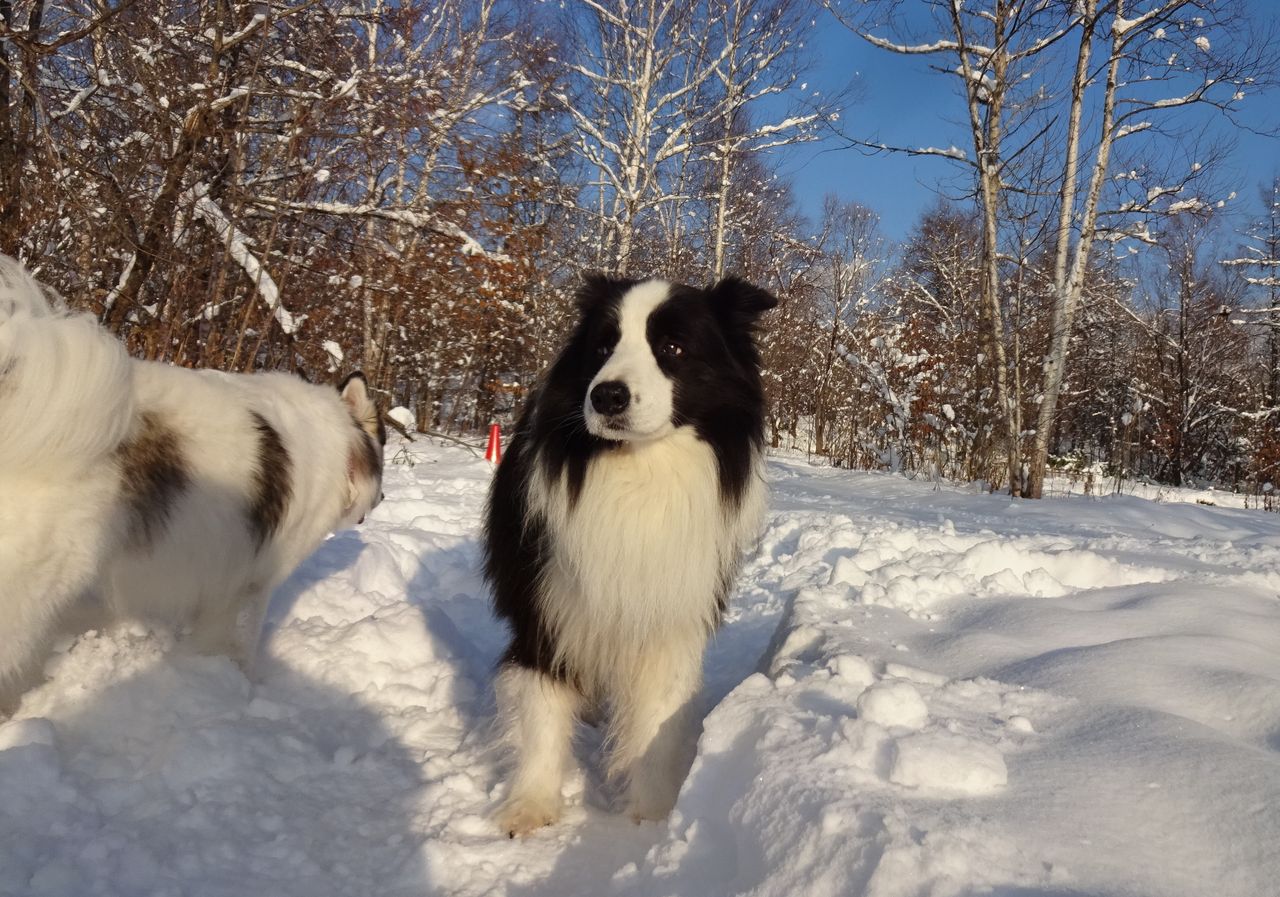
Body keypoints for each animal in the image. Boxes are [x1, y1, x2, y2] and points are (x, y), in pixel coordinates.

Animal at [483, 273, 776, 835]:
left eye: (674, 348)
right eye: (602, 347)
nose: (607, 395)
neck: (639, 472)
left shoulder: (669, 615)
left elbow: (658, 720)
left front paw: (653, 816)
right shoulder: (545, 607)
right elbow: (542, 709)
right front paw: (530, 808)